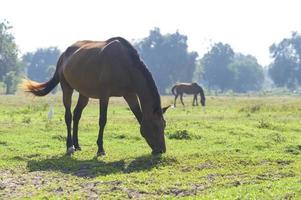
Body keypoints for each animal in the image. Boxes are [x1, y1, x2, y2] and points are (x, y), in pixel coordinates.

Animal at [23, 37, 169, 156]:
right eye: (155, 126)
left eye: (164, 125)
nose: (161, 150)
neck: (124, 64)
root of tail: (64, 55)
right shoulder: (104, 95)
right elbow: (102, 120)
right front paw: (100, 149)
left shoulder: (130, 95)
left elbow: (139, 116)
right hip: (67, 88)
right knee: (68, 116)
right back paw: (70, 146)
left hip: (84, 94)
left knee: (76, 115)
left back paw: (77, 145)